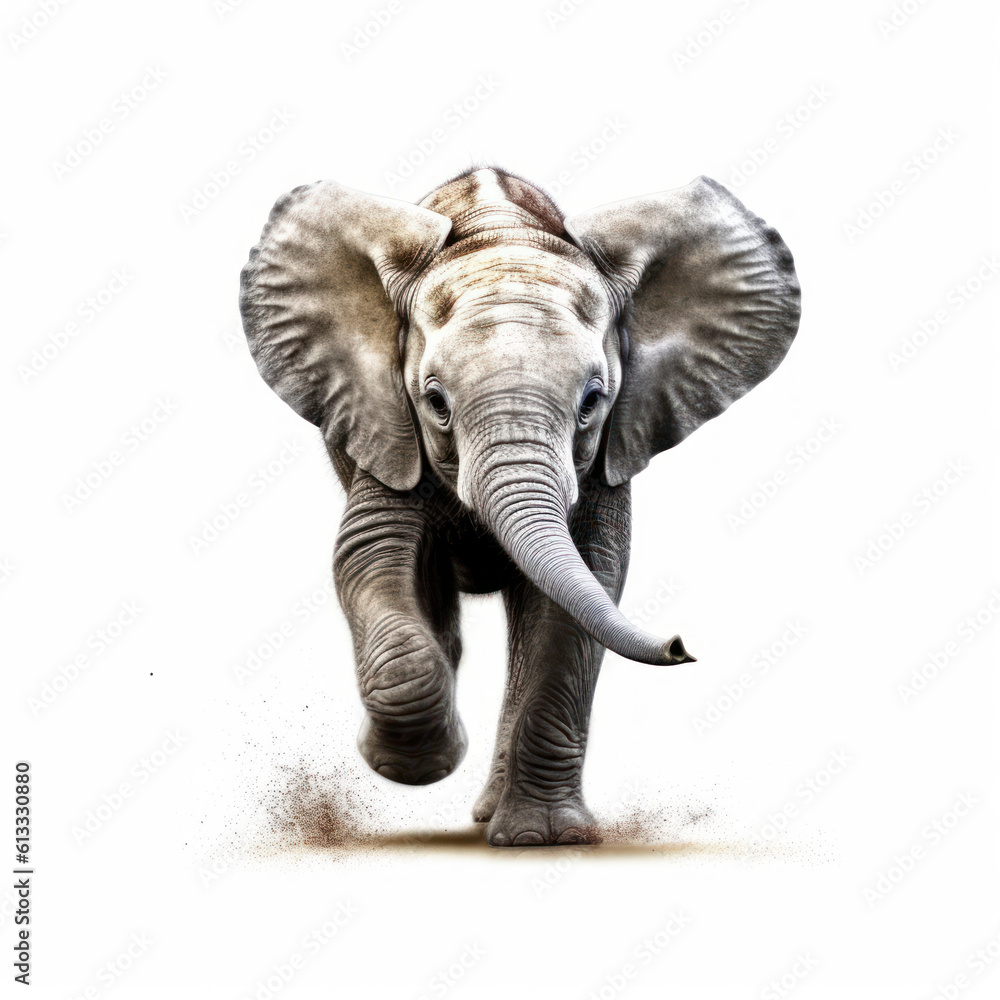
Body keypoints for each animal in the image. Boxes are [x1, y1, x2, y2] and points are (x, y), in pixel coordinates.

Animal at [239, 166, 800, 847]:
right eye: (435, 402)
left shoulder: (609, 450)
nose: (681, 645)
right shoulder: (385, 426)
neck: (503, 234)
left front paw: (545, 839)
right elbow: (367, 559)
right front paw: (420, 763)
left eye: (592, 401)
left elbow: (585, 588)